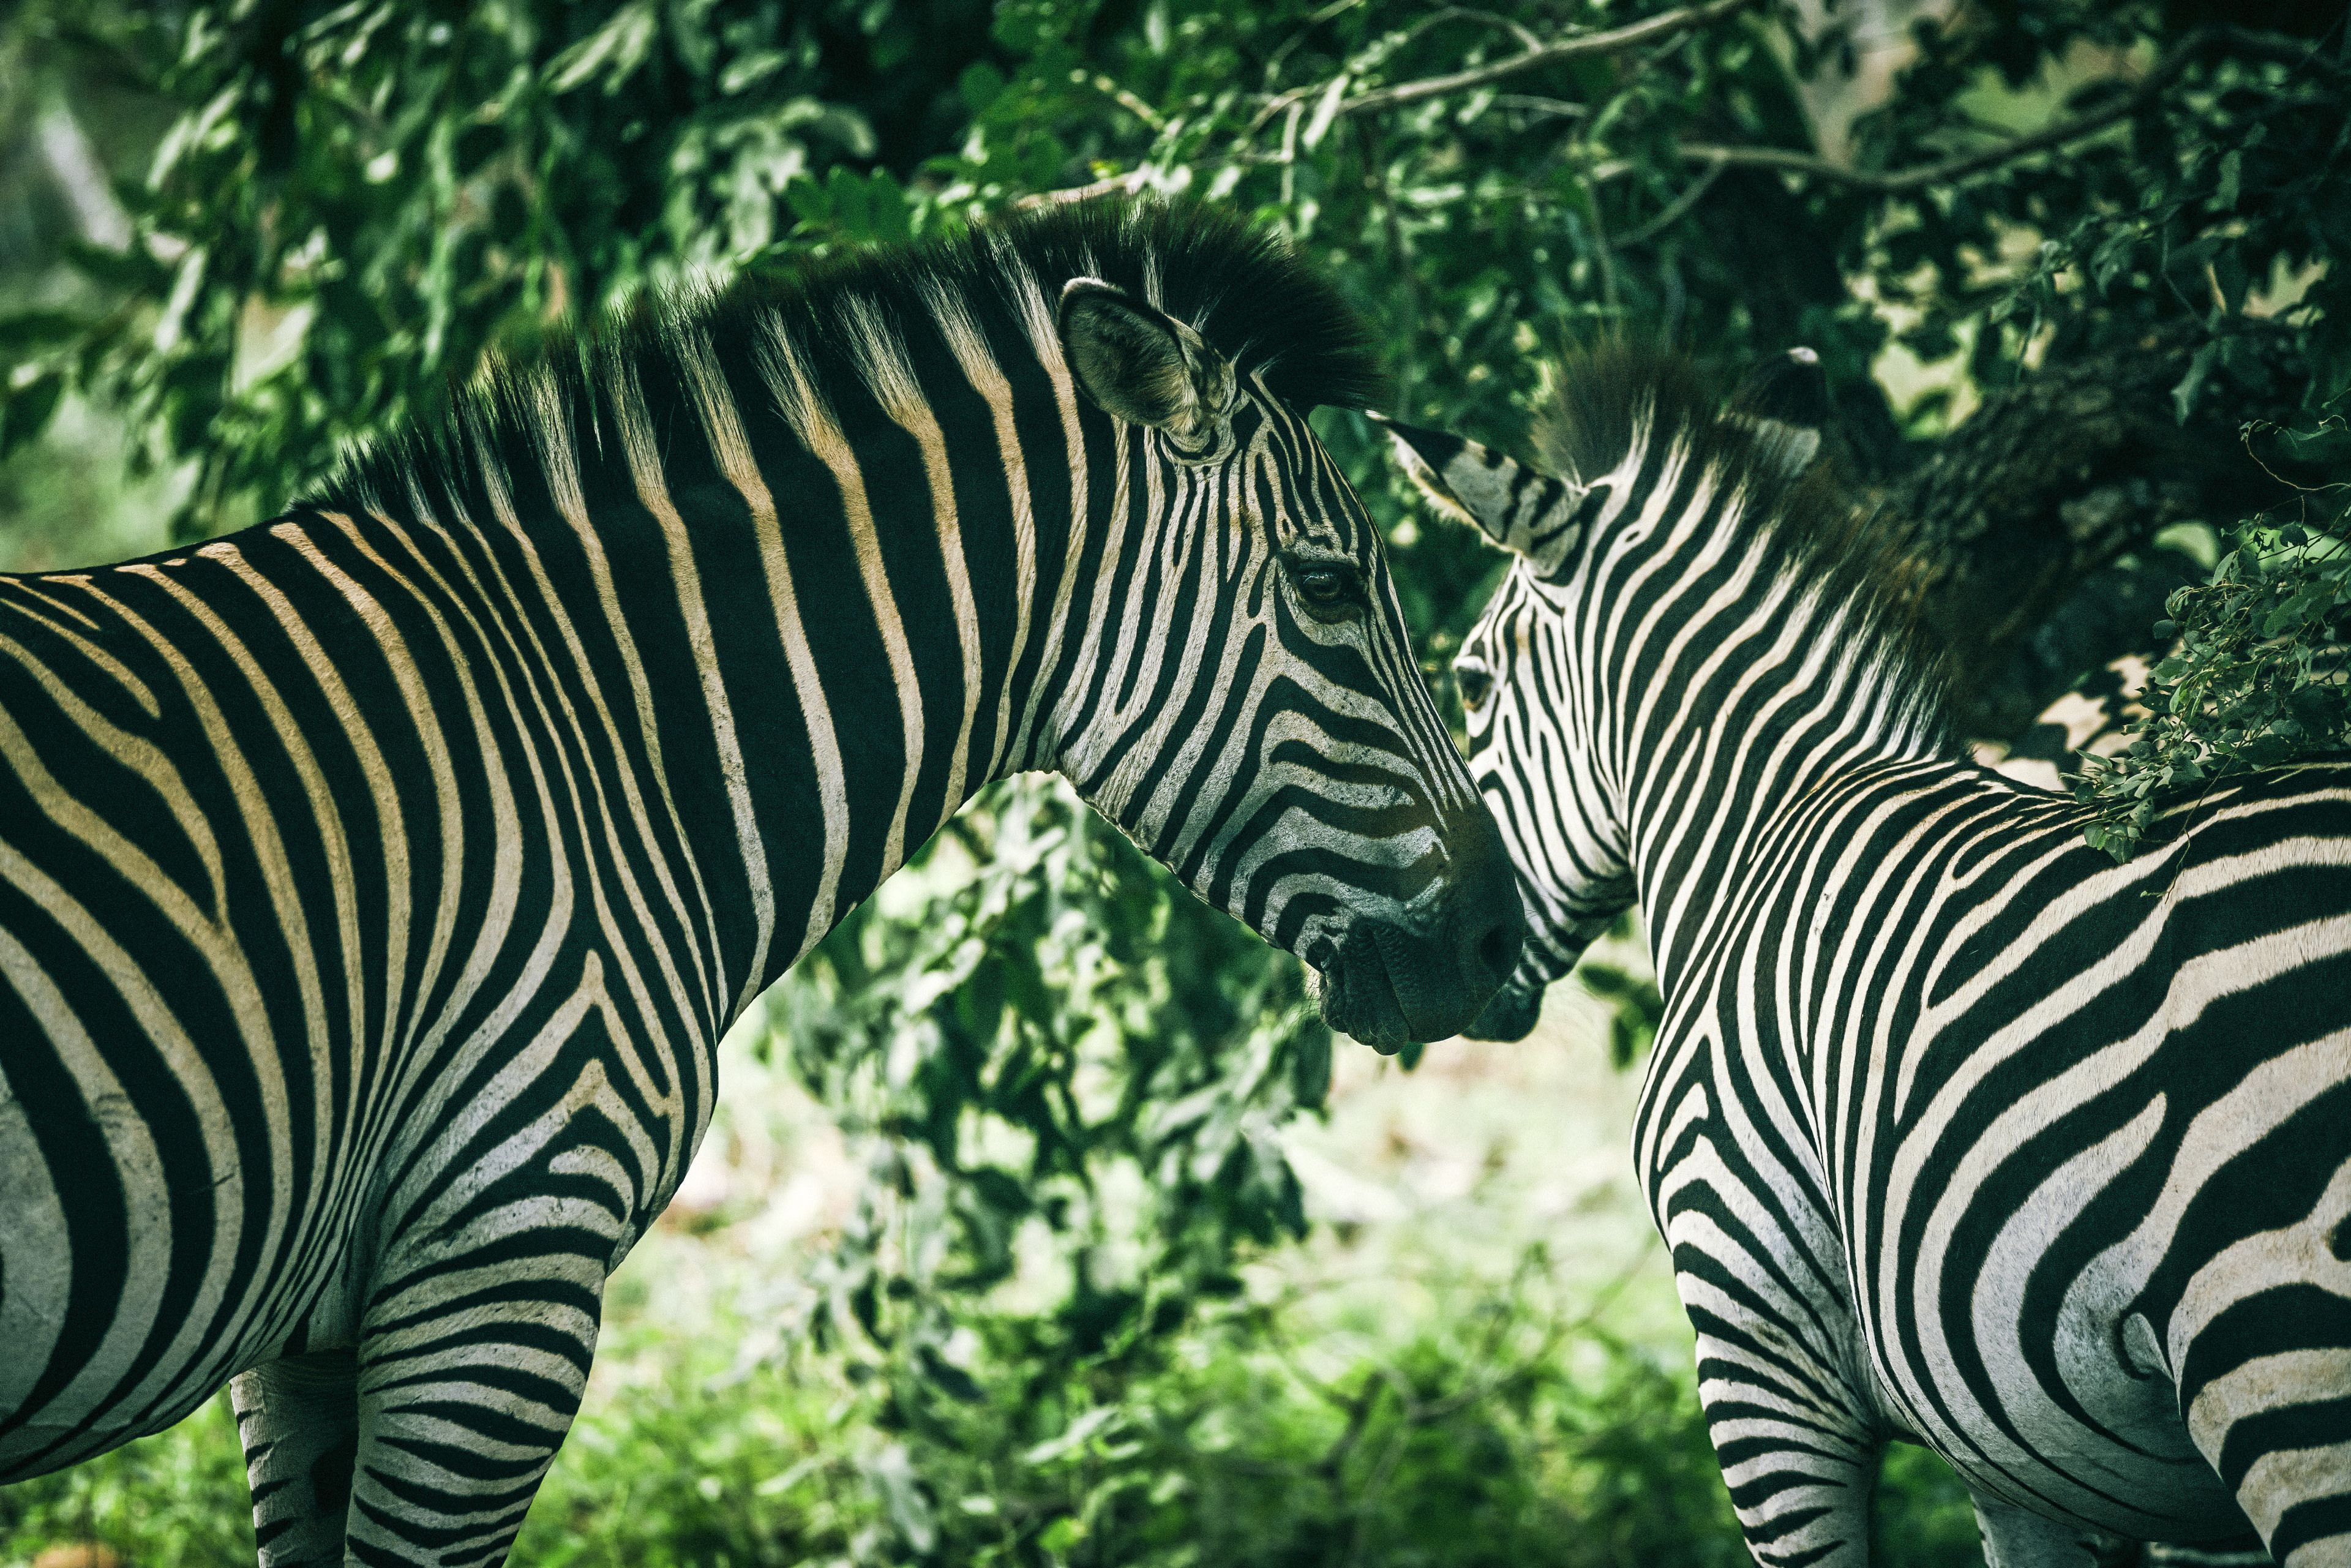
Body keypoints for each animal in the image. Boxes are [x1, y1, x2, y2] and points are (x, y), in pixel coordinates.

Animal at [1379, 346, 2351, 1567]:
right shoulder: (2013, 1447)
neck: (1760, 830)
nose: (1456, 969)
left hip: (2279, 1361)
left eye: (1468, 683)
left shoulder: (1755, 1349)